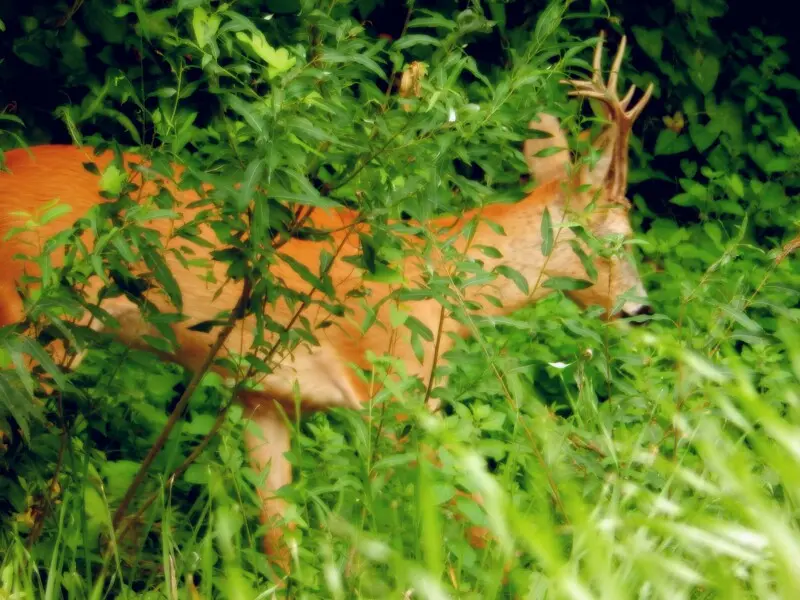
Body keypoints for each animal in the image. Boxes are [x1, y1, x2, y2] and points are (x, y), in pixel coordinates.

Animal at [0, 31, 648, 572]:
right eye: (619, 236)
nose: (639, 309)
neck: (436, 278)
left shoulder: (266, 398)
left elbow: (282, 541)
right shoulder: (395, 385)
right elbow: (470, 510)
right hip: (37, 322)